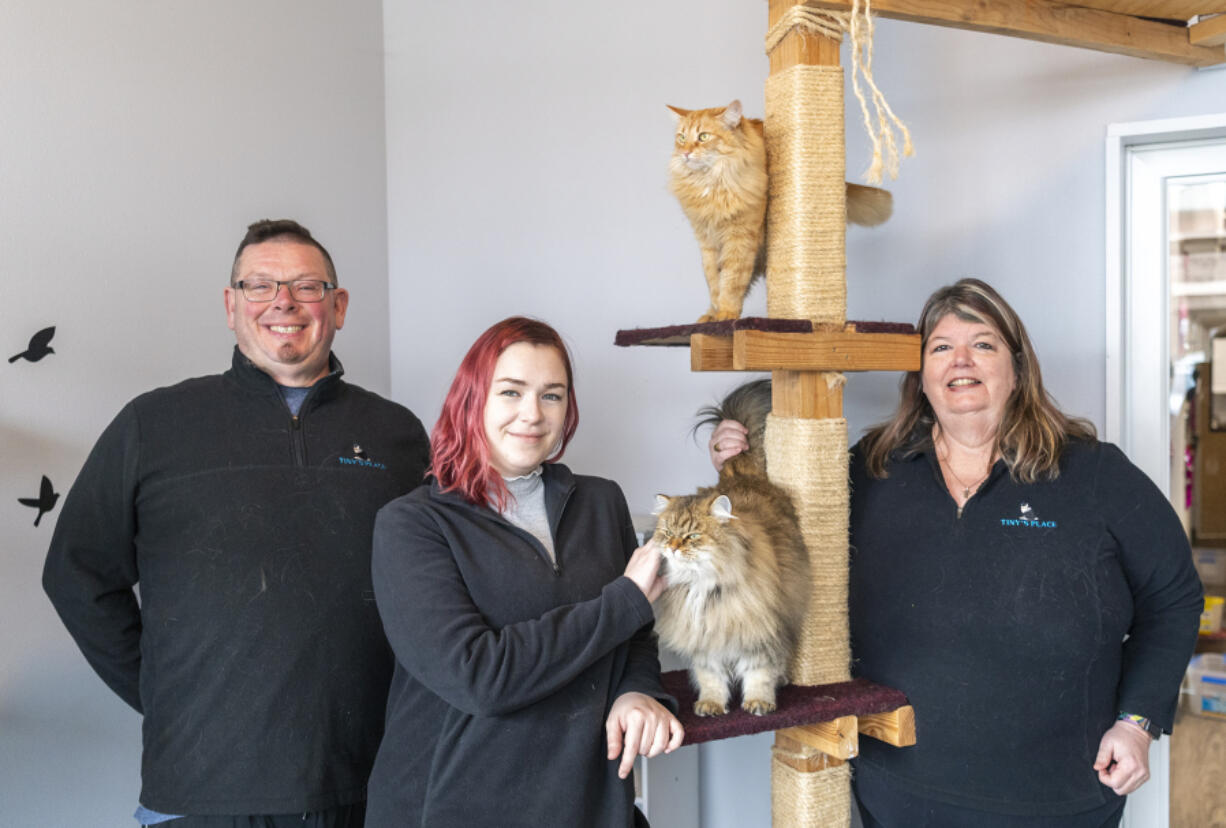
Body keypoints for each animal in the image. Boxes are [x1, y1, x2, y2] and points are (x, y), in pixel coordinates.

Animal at [652, 377, 814, 716]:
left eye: (692, 536)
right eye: (667, 533)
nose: (672, 547)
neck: (702, 588)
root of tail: (741, 475)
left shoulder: (759, 632)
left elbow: (759, 673)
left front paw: (758, 703)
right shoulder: (705, 643)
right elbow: (711, 677)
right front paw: (711, 705)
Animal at [671, 100, 892, 323]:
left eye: (703, 137)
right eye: (681, 138)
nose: (685, 153)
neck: (712, 183)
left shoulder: (741, 238)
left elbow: (731, 280)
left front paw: (725, 313)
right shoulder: (707, 240)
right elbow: (713, 281)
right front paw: (715, 314)